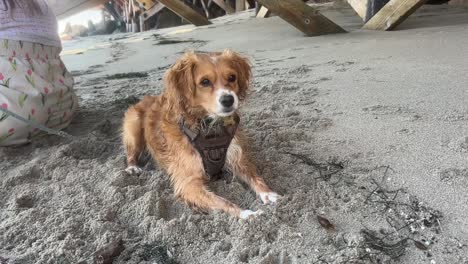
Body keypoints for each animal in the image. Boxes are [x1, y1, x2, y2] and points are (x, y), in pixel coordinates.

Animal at [122, 49, 280, 219]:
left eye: (232, 77)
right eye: (205, 82)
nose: (228, 99)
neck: (210, 128)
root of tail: (147, 98)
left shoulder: (237, 158)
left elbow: (254, 176)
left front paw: (268, 193)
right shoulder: (188, 183)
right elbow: (222, 201)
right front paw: (246, 213)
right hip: (133, 126)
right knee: (131, 152)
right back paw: (132, 167)